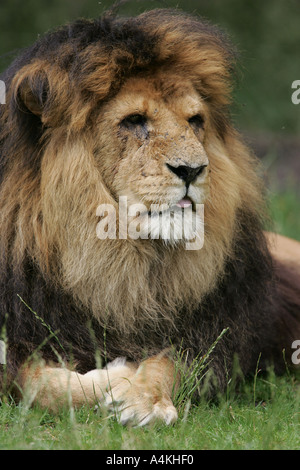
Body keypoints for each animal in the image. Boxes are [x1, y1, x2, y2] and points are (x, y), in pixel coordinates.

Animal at [0, 8, 300, 426]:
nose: (192, 169)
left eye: (195, 121)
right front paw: (110, 379)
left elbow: (168, 364)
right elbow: (36, 385)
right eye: (134, 120)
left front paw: (143, 397)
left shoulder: (205, 339)